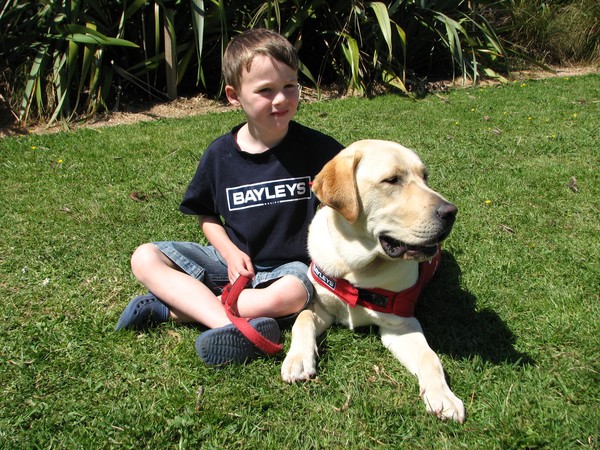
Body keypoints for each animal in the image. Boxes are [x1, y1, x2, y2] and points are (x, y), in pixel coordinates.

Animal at [280, 140, 464, 422]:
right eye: (392, 180)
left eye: (425, 176)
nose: (451, 212)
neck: (356, 269)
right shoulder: (322, 307)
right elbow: (302, 318)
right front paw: (298, 359)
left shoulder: (400, 325)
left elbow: (430, 357)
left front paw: (443, 397)